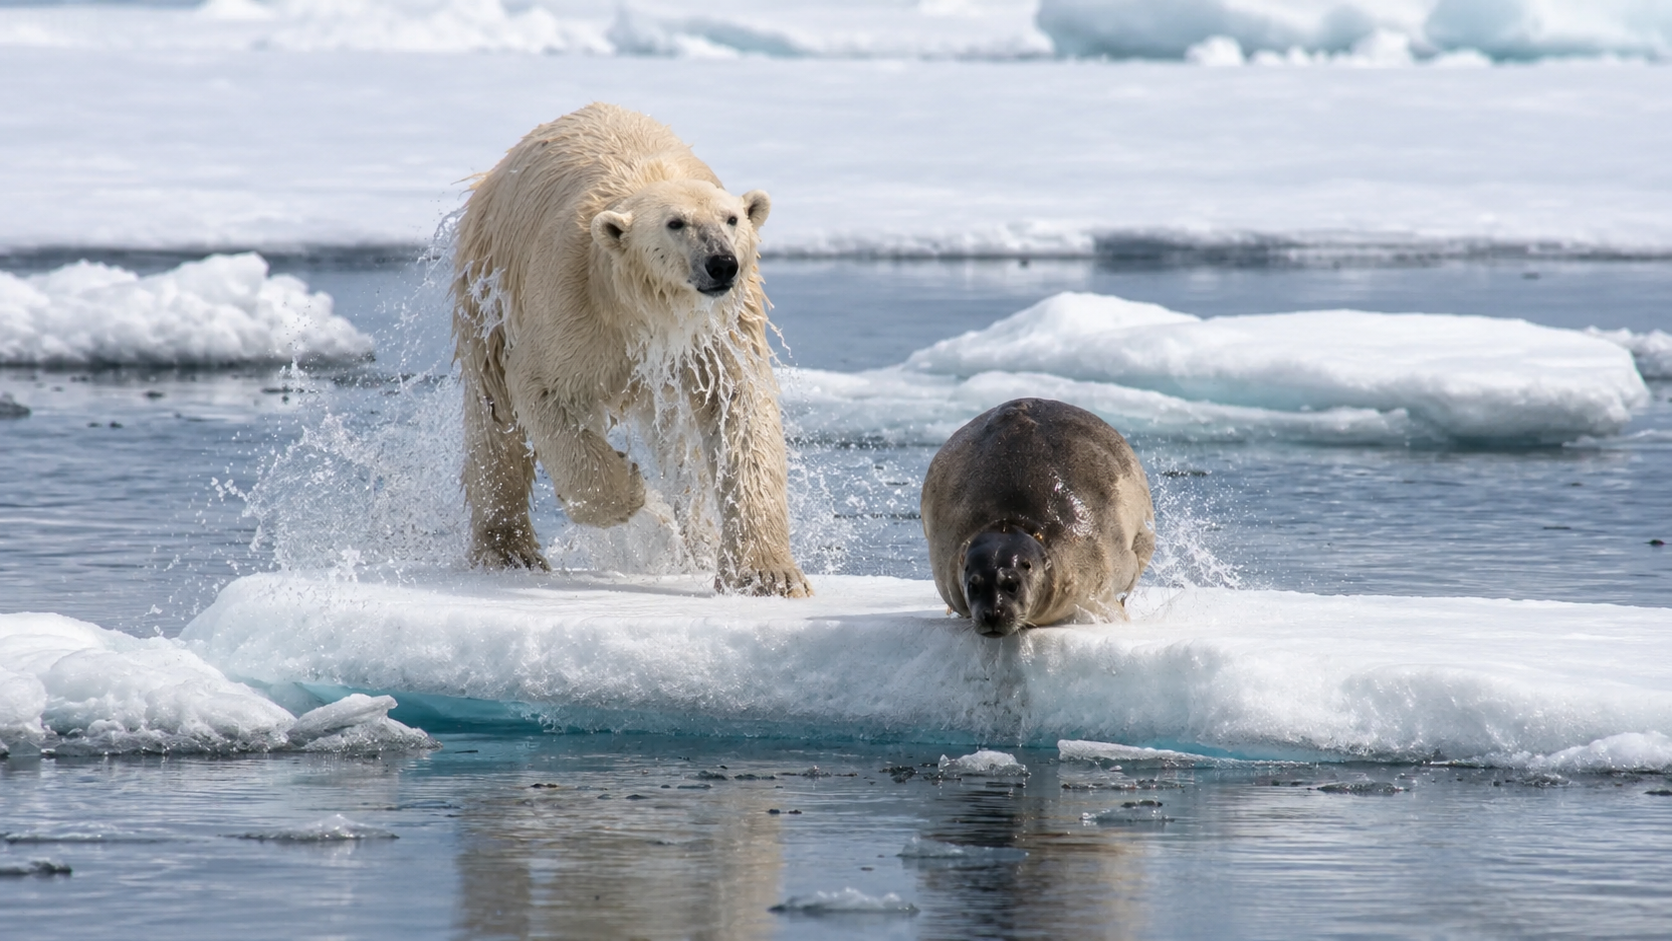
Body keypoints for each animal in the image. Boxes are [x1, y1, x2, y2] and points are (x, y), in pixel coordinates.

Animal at [451, 102, 810, 597]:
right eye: (676, 223)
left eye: (731, 219)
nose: (722, 263)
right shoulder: (572, 298)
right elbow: (540, 387)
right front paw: (635, 492)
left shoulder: (718, 331)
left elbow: (739, 412)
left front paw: (767, 575)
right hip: (488, 282)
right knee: (494, 415)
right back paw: (507, 551)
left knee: (681, 448)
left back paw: (698, 542)